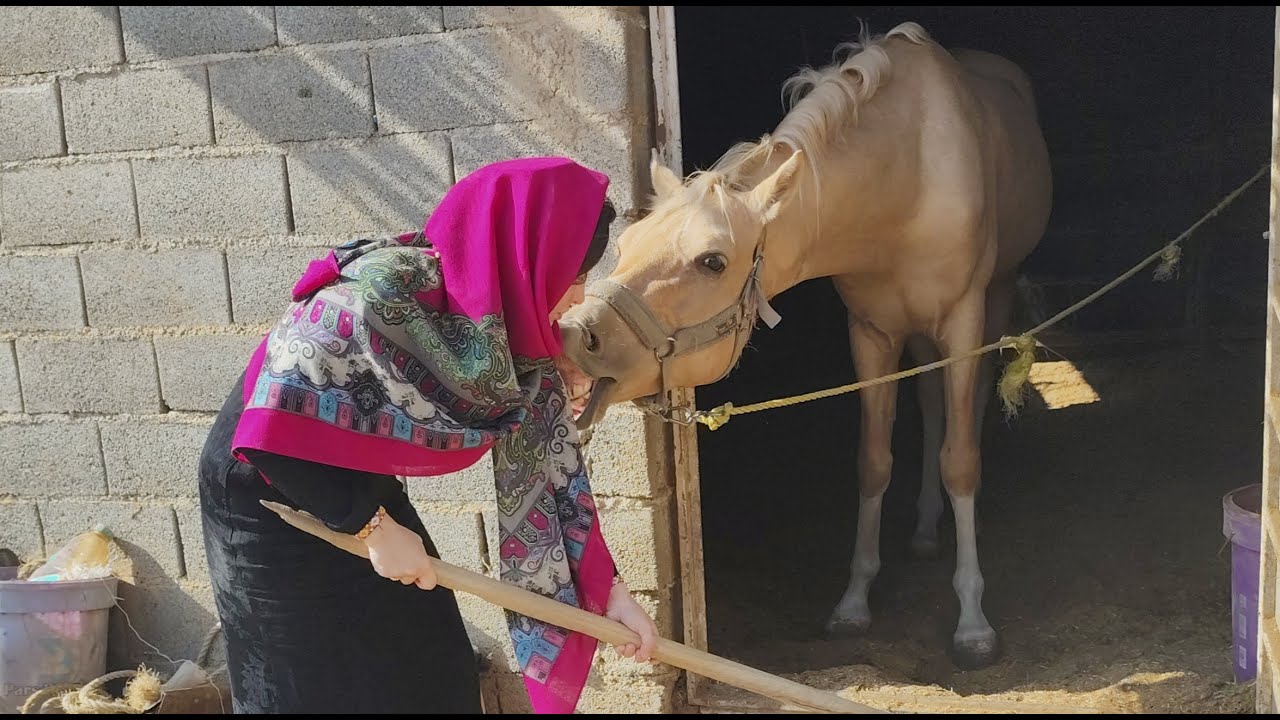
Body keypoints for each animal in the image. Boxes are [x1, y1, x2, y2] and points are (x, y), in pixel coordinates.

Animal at [560, 21, 1052, 669]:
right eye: (630, 238)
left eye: (712, 260)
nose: (578, 333)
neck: (908, 173)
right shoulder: (871, 332)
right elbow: (873, 462)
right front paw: (854, 601)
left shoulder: (964, 322)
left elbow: (961, 461)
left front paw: (973, 622)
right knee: (931, 408)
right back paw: (925, 529)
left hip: (987, 304)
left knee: (963, 417)